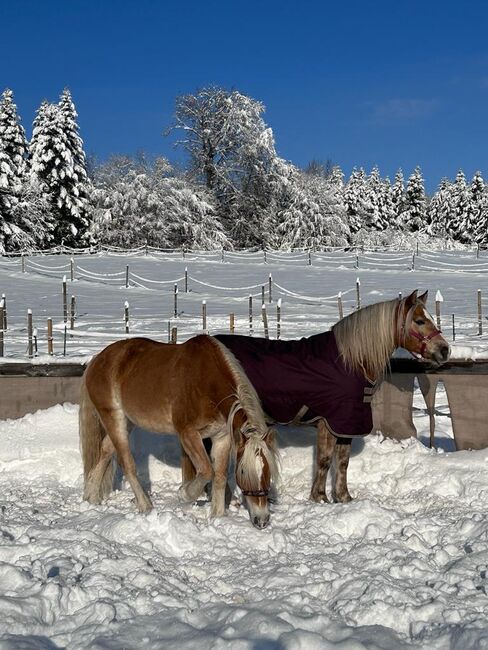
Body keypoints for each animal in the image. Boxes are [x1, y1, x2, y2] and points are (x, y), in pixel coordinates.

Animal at [79, 334, 278, 528]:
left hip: (127, 422)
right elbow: (207, 471)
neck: (207, 383)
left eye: (268, 470)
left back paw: (92, 496)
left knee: (105, 450)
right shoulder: (188, 434)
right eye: (243, 471)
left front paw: (218, 516)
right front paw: (184, 493)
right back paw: (145, 506)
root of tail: (97, 360)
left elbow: (219, 476)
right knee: (126, 463)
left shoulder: (222, 437)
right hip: (114, 417)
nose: (262, 520)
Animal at [210, 288, 450, 502]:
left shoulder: (346, 425)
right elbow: (324, 460)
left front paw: (343, 497)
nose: (445, 350)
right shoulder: (329, 422)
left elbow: (342, 462)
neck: (350, 362)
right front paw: (319, 498)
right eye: (419, 321)